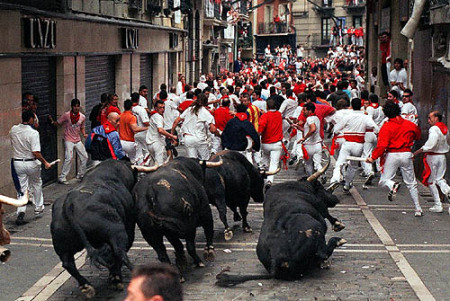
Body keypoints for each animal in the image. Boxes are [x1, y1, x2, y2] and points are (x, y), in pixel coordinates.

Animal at [50, 161, 156, 296]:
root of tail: (69, 203)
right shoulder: (129, 224)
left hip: (63, 247)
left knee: (68, 264)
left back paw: (87, 286)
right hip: (117, 232)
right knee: (119, 251)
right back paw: (124, 276)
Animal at [216, 155, 346, 286]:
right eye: (319, 186)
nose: (335, 198)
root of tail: (277, 259)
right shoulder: (319, 204)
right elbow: (327, 214)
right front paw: (338, 225)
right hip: (315, 228)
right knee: (322, 253)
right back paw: (337, 242)